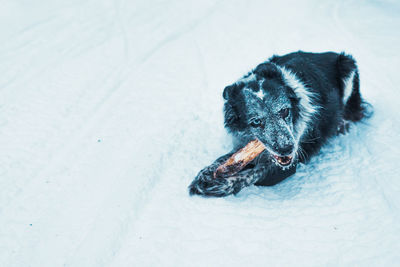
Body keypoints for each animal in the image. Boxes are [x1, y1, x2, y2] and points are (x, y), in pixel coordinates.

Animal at [189, 50, 370, 197]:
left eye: (284, 111)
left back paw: (342, 124)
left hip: (347, 65)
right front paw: (205, 173)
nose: (286, 148)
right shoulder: (243, 144)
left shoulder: (288, 165)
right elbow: (227, 158)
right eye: (256, 121)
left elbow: (254, 174)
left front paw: (221, 185)